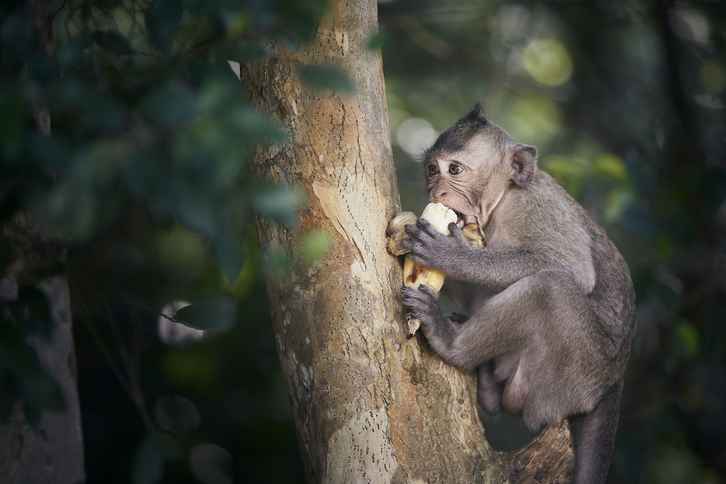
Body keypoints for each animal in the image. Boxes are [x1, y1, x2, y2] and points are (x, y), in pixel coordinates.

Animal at [398, 104, 636, 484]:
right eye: (432, 170)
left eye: (454, 169)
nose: (437, 193)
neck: (502, 199)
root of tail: (614, 382)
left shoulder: (534, 208)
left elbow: (571, 268)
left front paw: (451, 255)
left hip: (572, 374)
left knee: (550, 288)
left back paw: (451, 342)